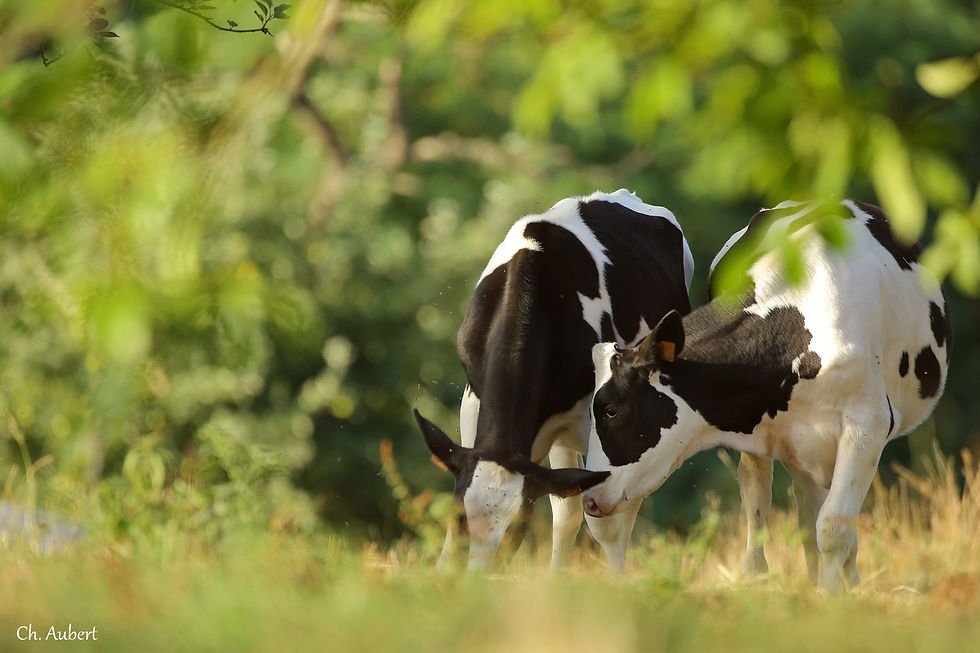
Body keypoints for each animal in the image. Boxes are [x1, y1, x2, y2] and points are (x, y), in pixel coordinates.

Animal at [413, 189, 694, 571]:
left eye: (517, 528)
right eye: (459, 518)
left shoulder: (599, 423)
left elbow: (601, 519)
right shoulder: (473, 402)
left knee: (620, 506)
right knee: (567, 512)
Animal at [582, 199, 951, 592]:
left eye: (611, 409)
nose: (588, 500)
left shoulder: (868, 424)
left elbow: (834, 528)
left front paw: (834, 596)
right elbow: (781, 513)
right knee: (774, 503)